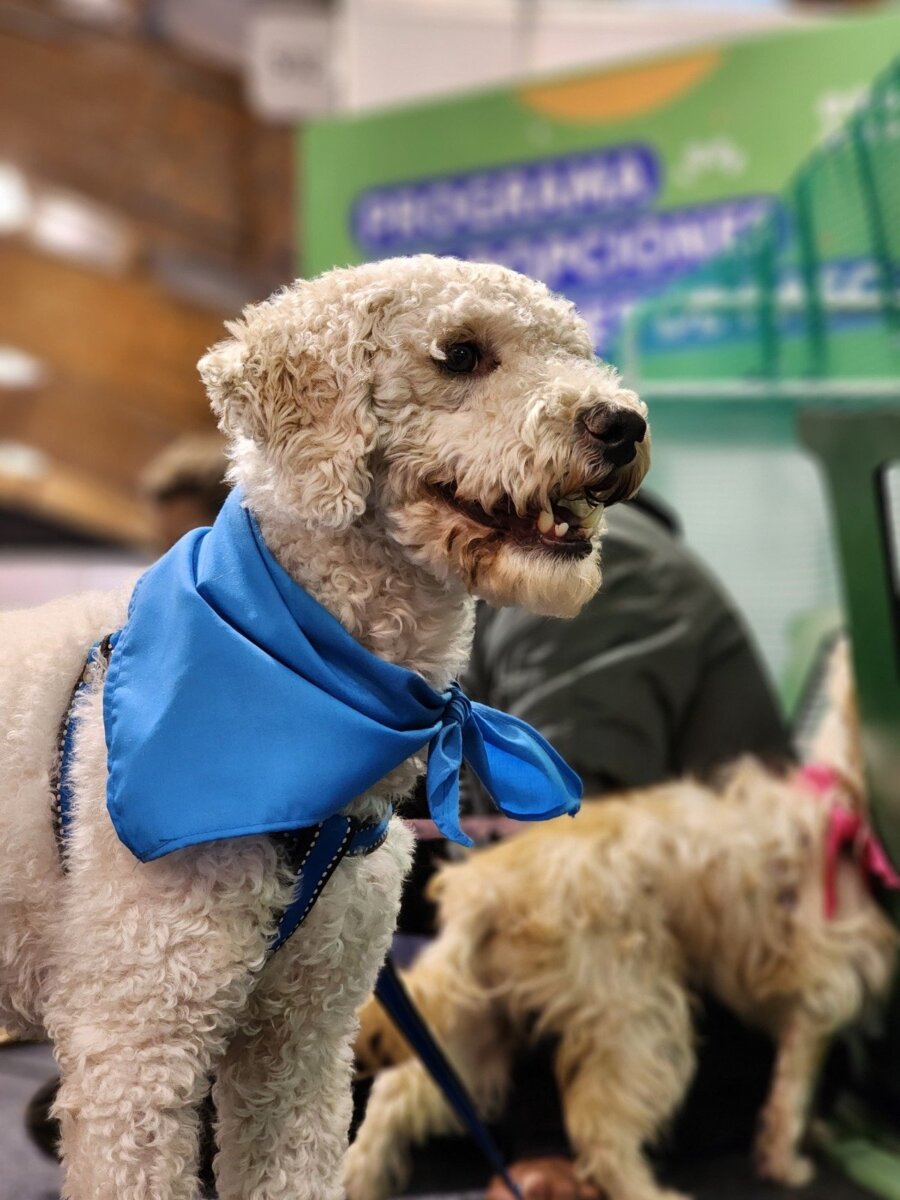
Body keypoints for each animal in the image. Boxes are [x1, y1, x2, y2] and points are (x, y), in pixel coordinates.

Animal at [348, 648, 897, 1200]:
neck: (847, 799)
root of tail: (488, 890)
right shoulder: (819, 996)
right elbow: (794, 1094)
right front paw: (788, 1163)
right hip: (639, 1013)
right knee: (600, 1131)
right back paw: (649, 1190)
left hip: (476, 1026)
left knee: (399, 1093)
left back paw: (361, 1175)